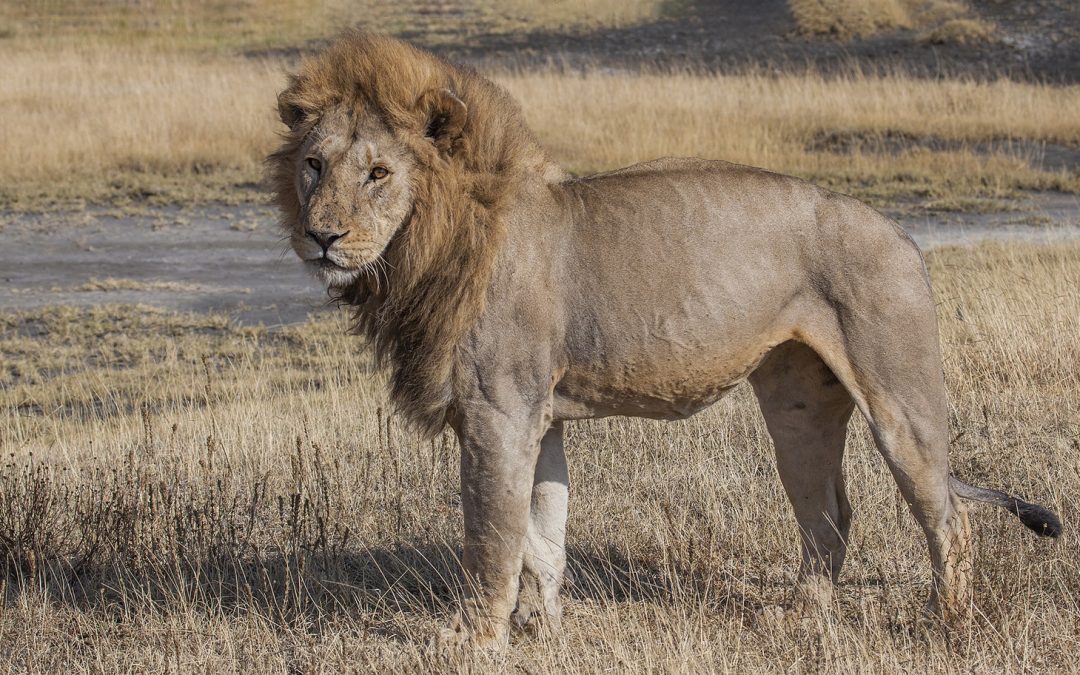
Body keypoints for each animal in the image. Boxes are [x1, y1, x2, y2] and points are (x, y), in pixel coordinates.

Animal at [269, 32, 1062, 649]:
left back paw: (946, 626)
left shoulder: (499, 412)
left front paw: (475, 640)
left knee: (949, 516)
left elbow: (490, 536)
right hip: (798, 408)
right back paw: (798, 621)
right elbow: (541, 536)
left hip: (900, 401)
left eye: (379, 172)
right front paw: (541, 631)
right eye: (314, 164)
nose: (321, 235)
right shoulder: (535, 417)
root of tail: (902, 234)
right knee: (829, 518)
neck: (425, 247)